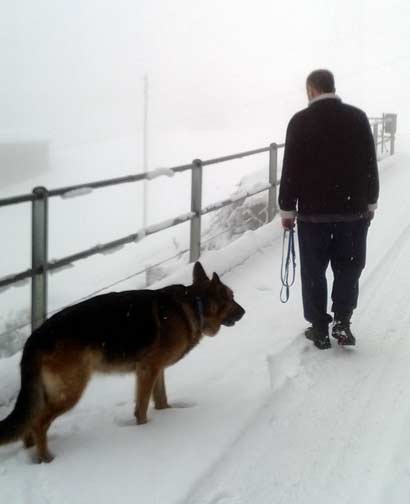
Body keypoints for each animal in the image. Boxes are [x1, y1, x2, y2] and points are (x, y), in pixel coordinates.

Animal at [0, 262, 245, 462]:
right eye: (231, 296)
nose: (244, 312)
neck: (195, 305)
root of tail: (34, 337)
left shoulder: (156, 370)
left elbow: (161, 399)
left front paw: (167, 414)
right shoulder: (147, 370)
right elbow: (142, 408)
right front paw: (144, 430)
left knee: (30, 422)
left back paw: (31, 454)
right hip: (70, 391)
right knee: (39, 422)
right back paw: (46, 459)